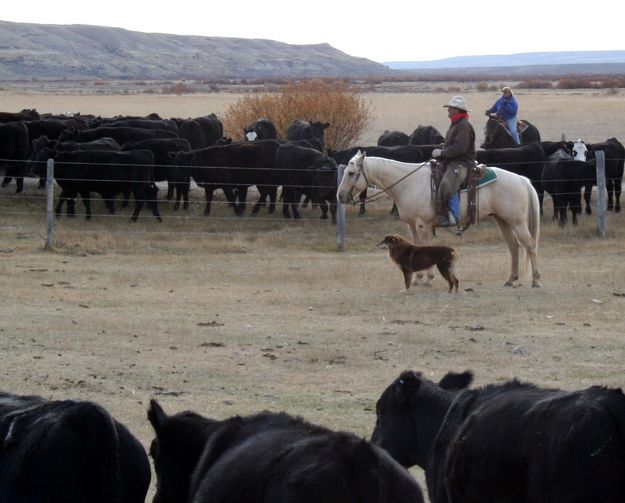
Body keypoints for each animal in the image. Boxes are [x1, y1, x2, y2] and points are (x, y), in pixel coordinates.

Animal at [336, 151, 540, 288]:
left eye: (351, 173)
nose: (340, 196)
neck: (408, 184)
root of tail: (521, 179)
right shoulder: (412, 225)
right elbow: (416, 246)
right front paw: (418, 278)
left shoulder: (423, 224)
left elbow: (425, 246)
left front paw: (428, 278)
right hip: (502, 220)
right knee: (514, 247)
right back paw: (511, 280)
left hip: (517, 222)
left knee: (529, 245)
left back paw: (536, 280)